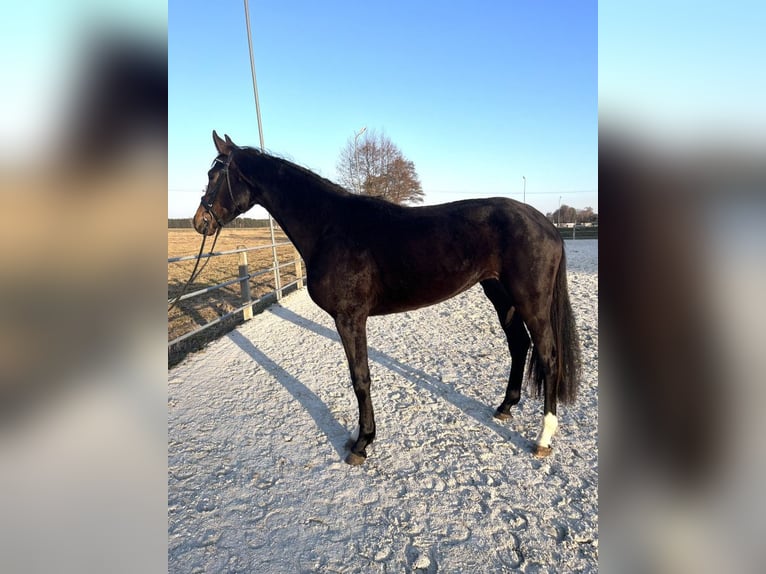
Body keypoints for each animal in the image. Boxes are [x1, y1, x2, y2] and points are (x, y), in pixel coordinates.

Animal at [193, 131, 582, 465]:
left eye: (215, 175)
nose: (200, 221)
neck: (329, 227)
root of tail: (545, 224)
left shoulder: (349, 318)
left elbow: (360, 378)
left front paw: (362, 443)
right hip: (500, 295)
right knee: (519, 345)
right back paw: (505, 407)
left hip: (531, 301)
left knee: (548, 356)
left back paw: (543, 437)